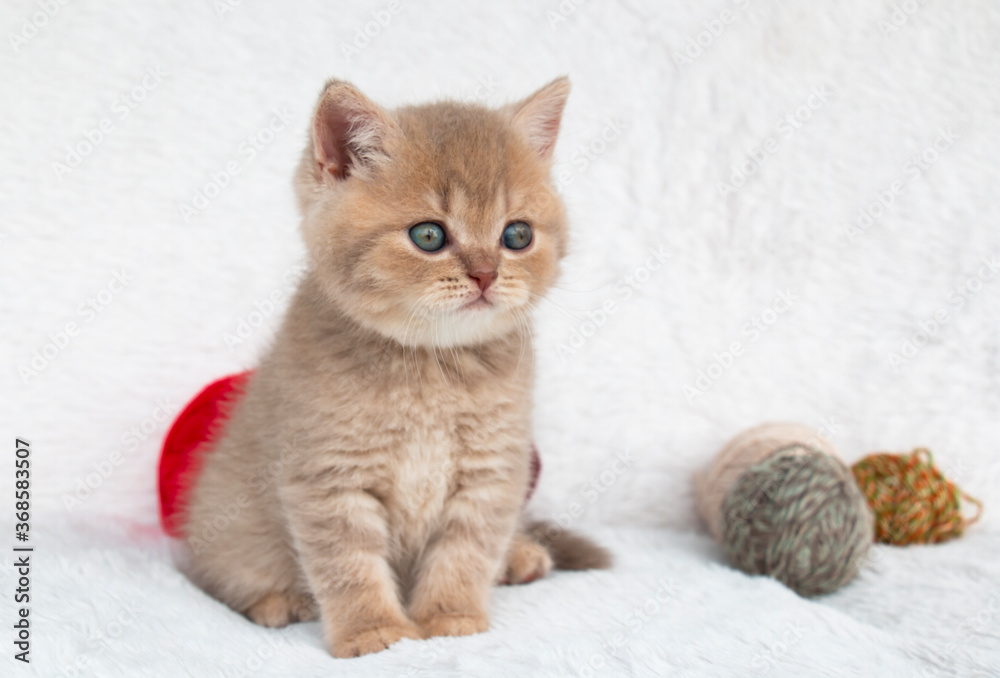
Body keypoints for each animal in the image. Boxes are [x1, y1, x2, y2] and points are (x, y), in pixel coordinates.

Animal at [184, 75, 612, 660]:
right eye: (428, 236)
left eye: (517, 235)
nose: (485, 274)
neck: (431, 373)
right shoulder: (328, 476)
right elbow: (348, 565)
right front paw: (373, 632)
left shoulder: (491, 471)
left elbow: (465, 552)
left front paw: (451, 617)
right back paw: (277, 602)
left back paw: (520, 555)